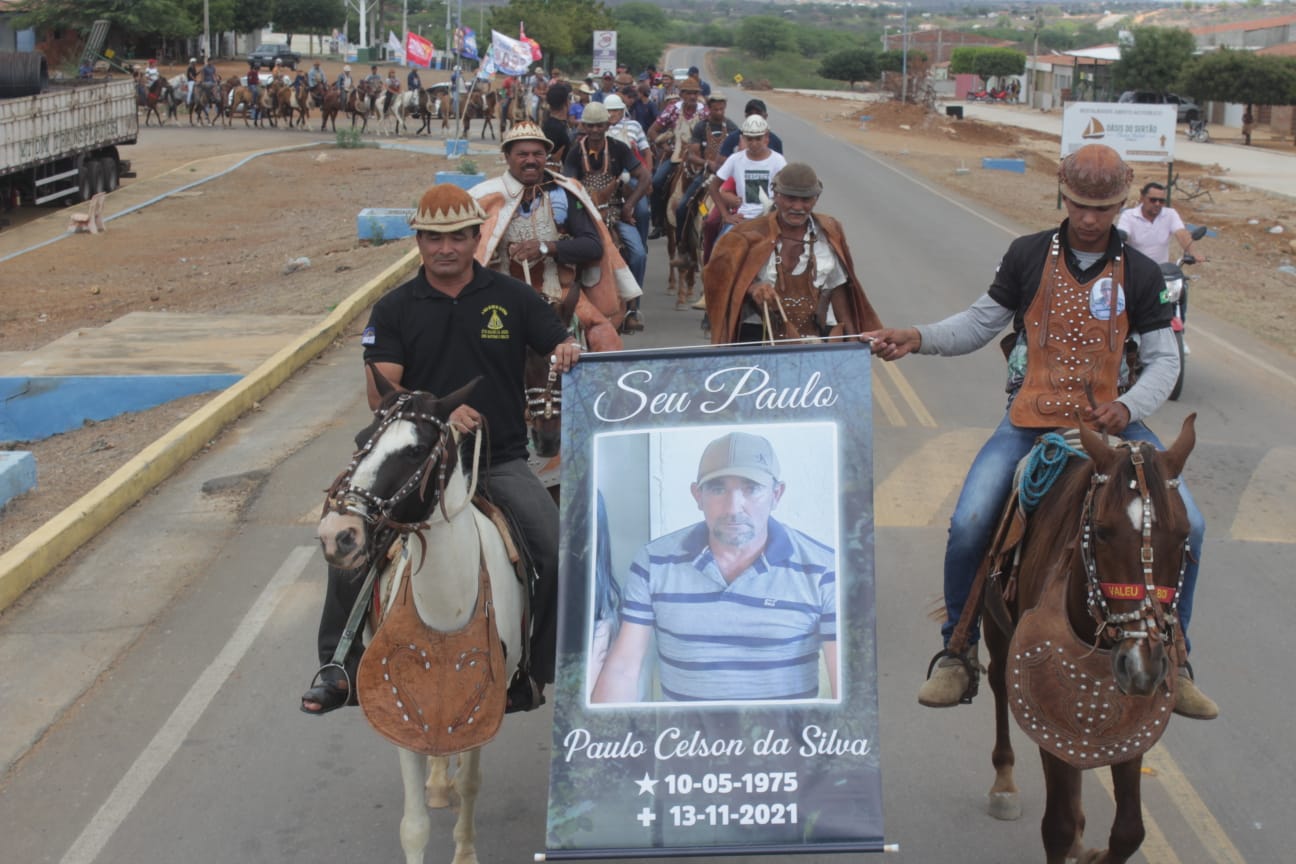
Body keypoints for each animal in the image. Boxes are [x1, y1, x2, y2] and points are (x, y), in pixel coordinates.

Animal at [984, 414, 1197, 860]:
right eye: (1100, 532)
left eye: (1184, 534)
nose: (1141, 665)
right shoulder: (1045, 702)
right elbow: (1057, 826)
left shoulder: (1135, 721)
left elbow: (1129, 831)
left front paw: (1094, 847)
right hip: (996, 627)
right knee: (997, 682)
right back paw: (1004, 783)